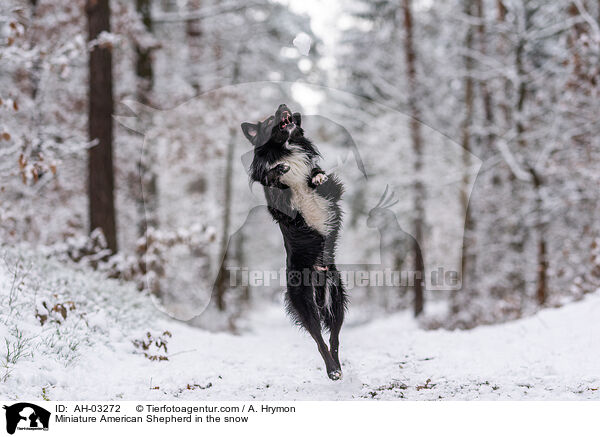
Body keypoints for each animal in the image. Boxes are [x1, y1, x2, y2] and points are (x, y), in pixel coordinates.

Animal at [243, 104, 350, 380]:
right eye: (269, 119)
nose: (283, 106)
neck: (287, 149)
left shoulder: (333, 193)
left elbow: (321, 177)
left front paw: (316, 176)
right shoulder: (280, 208)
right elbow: (274, 181)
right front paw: (278, 172)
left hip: (336, 299)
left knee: (333, 338)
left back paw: (337, 368)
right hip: (304, 303)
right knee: (319, 340)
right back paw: (332, 370)